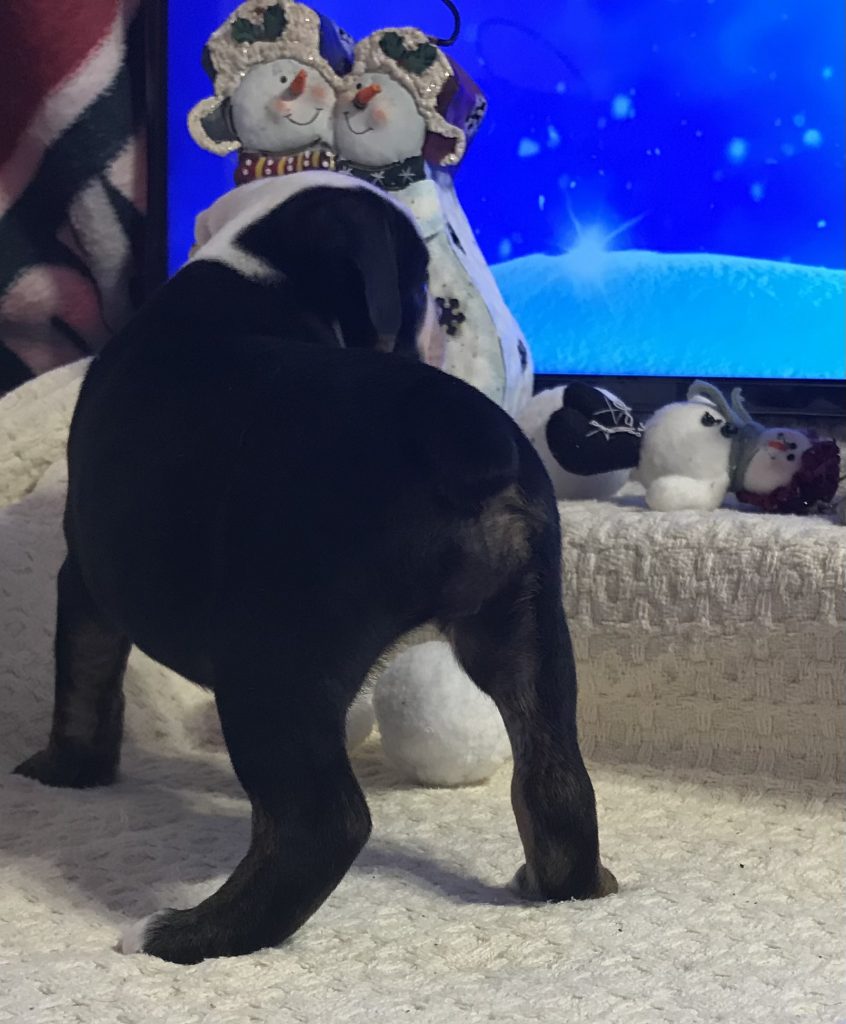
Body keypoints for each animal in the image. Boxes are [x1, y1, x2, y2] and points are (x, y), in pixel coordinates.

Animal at [14, 175, 617, 964]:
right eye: (421, 286)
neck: (264, 267)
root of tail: (456, 432)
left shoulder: (84, 578)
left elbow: (83, 681)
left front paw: (64, 773)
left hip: (271, 662)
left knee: (321, 825)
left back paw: (180, 935)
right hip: (527, 634)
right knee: (556, 778)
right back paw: (567, 886)